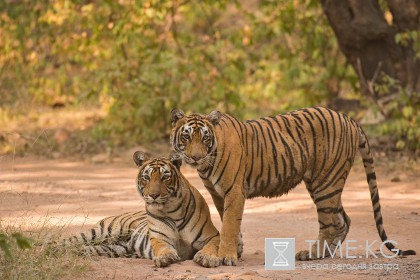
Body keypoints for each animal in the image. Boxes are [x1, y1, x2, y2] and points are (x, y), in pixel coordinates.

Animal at [63, 152, 220, 268]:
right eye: (146, 177)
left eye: (165, 177)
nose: (154, 195)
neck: (173, 211)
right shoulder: (159, 237)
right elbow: (162, 247)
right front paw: (165, 257)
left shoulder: (211, 236)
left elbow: (213, 246)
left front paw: (207, 257)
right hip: (102, 232)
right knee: (68, 240)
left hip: (113, 248)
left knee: (83, 247)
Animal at [169, 106, 416, 266]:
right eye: (186, 137)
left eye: (205, 138)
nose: (196, 157)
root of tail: (349, 118)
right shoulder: (218, 194)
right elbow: (228, 222)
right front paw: (234, 251)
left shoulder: (234, 191)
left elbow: (229, 224)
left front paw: (225, 256)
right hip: (324, 184)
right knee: (343, 219)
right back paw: (324, 253)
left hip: (325, 182)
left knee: (332, 223)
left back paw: (313, 254)